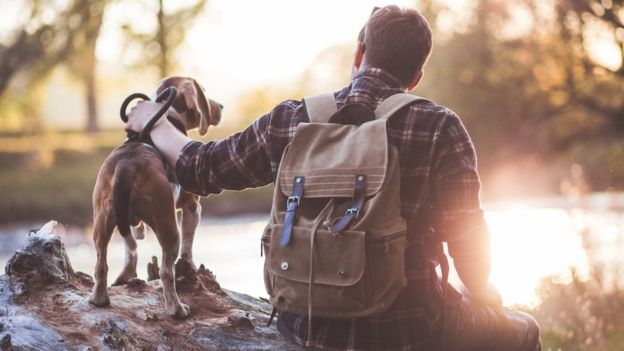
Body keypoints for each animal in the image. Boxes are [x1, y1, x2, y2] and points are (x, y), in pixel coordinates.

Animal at [89, 77, 221, 320]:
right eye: (204, 91)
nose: (221, 107)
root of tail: (126, 166)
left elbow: (130, 246)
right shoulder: (192, 207)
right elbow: (188, 246)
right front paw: (189, 265)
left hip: (102, 223)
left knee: (101, 265)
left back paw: (99, 298)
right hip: (168, 229)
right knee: (166, 272)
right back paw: (177, 309)